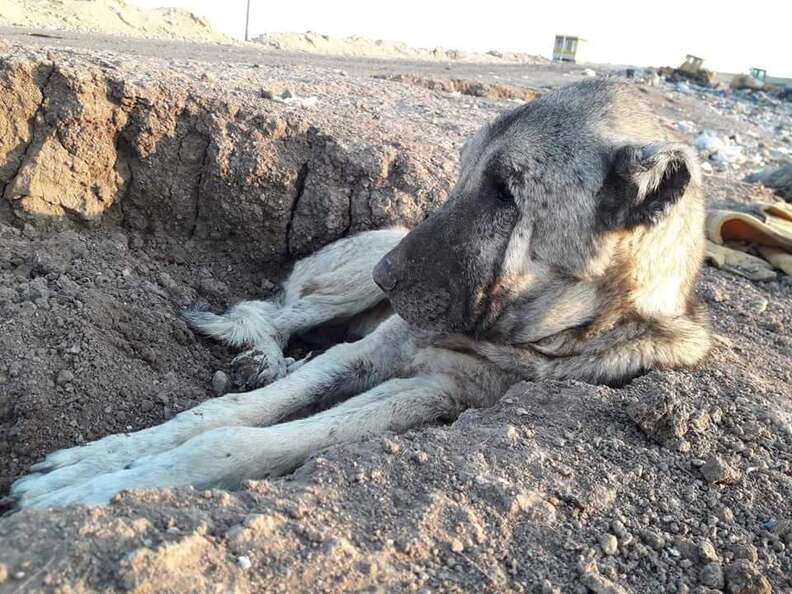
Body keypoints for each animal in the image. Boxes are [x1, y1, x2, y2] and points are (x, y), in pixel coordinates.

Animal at [9, 77, 712, 504]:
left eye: (507, 193)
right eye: (463, 174)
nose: (387, 280)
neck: (507, 334)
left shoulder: (436, 391)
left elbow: (241, 442)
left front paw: (96, 491)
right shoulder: (376, 350)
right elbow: (221, 416)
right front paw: (94, 465)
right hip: (345, 282)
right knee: (271, 312)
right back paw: (266, 352)